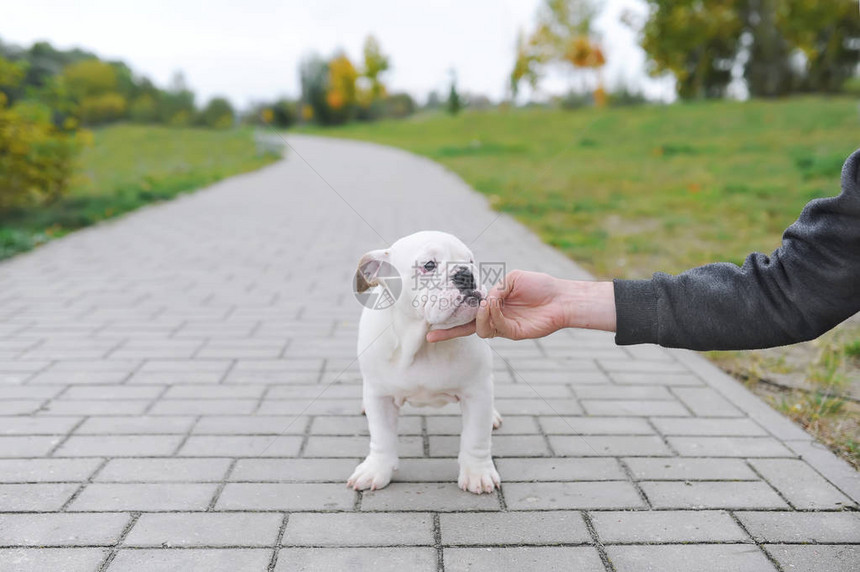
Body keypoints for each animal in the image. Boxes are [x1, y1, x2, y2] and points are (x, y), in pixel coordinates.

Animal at [348, 230, 500, 494]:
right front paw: (376, 469)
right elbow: (382, 437)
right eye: (429, 265)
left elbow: (476, 437)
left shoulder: (477, 392)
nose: (466, 274)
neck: (423, 345)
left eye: (470, 261)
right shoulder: (380, 396)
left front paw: (477, 473)